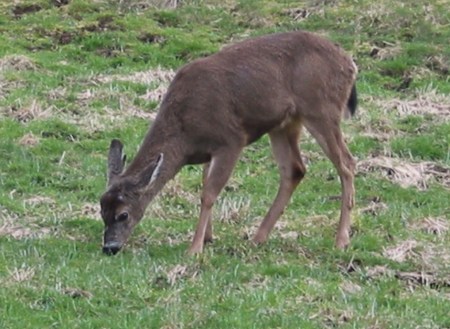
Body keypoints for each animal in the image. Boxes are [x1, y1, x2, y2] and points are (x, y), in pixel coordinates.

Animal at [99, 30, 358, 255]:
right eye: (102, 211)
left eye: (123, 214)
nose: (110, 247)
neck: (185, 138)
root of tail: (349, 63)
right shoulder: (208, 151)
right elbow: (205, 185)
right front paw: (207, 237)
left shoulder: (230, 140)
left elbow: (209, 193)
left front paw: (194, 248)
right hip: (284, 124)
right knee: (294, 169)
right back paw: (258, 237)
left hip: (321, 108)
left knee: (346, 163)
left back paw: (341, 240)